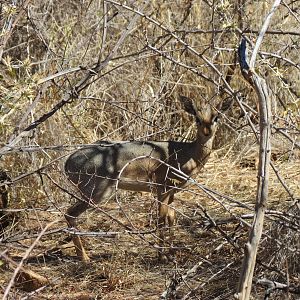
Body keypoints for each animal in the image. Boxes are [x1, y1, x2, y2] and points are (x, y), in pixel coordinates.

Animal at [63, 95, 227, 262]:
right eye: (197, 118)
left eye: (216, 117)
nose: (207, 132)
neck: (187, 154)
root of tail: (68, 162)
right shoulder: (162, 189)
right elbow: (161, 220)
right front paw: (162, 257)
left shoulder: (172, 193)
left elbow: (171, 218)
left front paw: (173, 254)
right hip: (97, 193)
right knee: (69, 214)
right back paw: (85, 258)